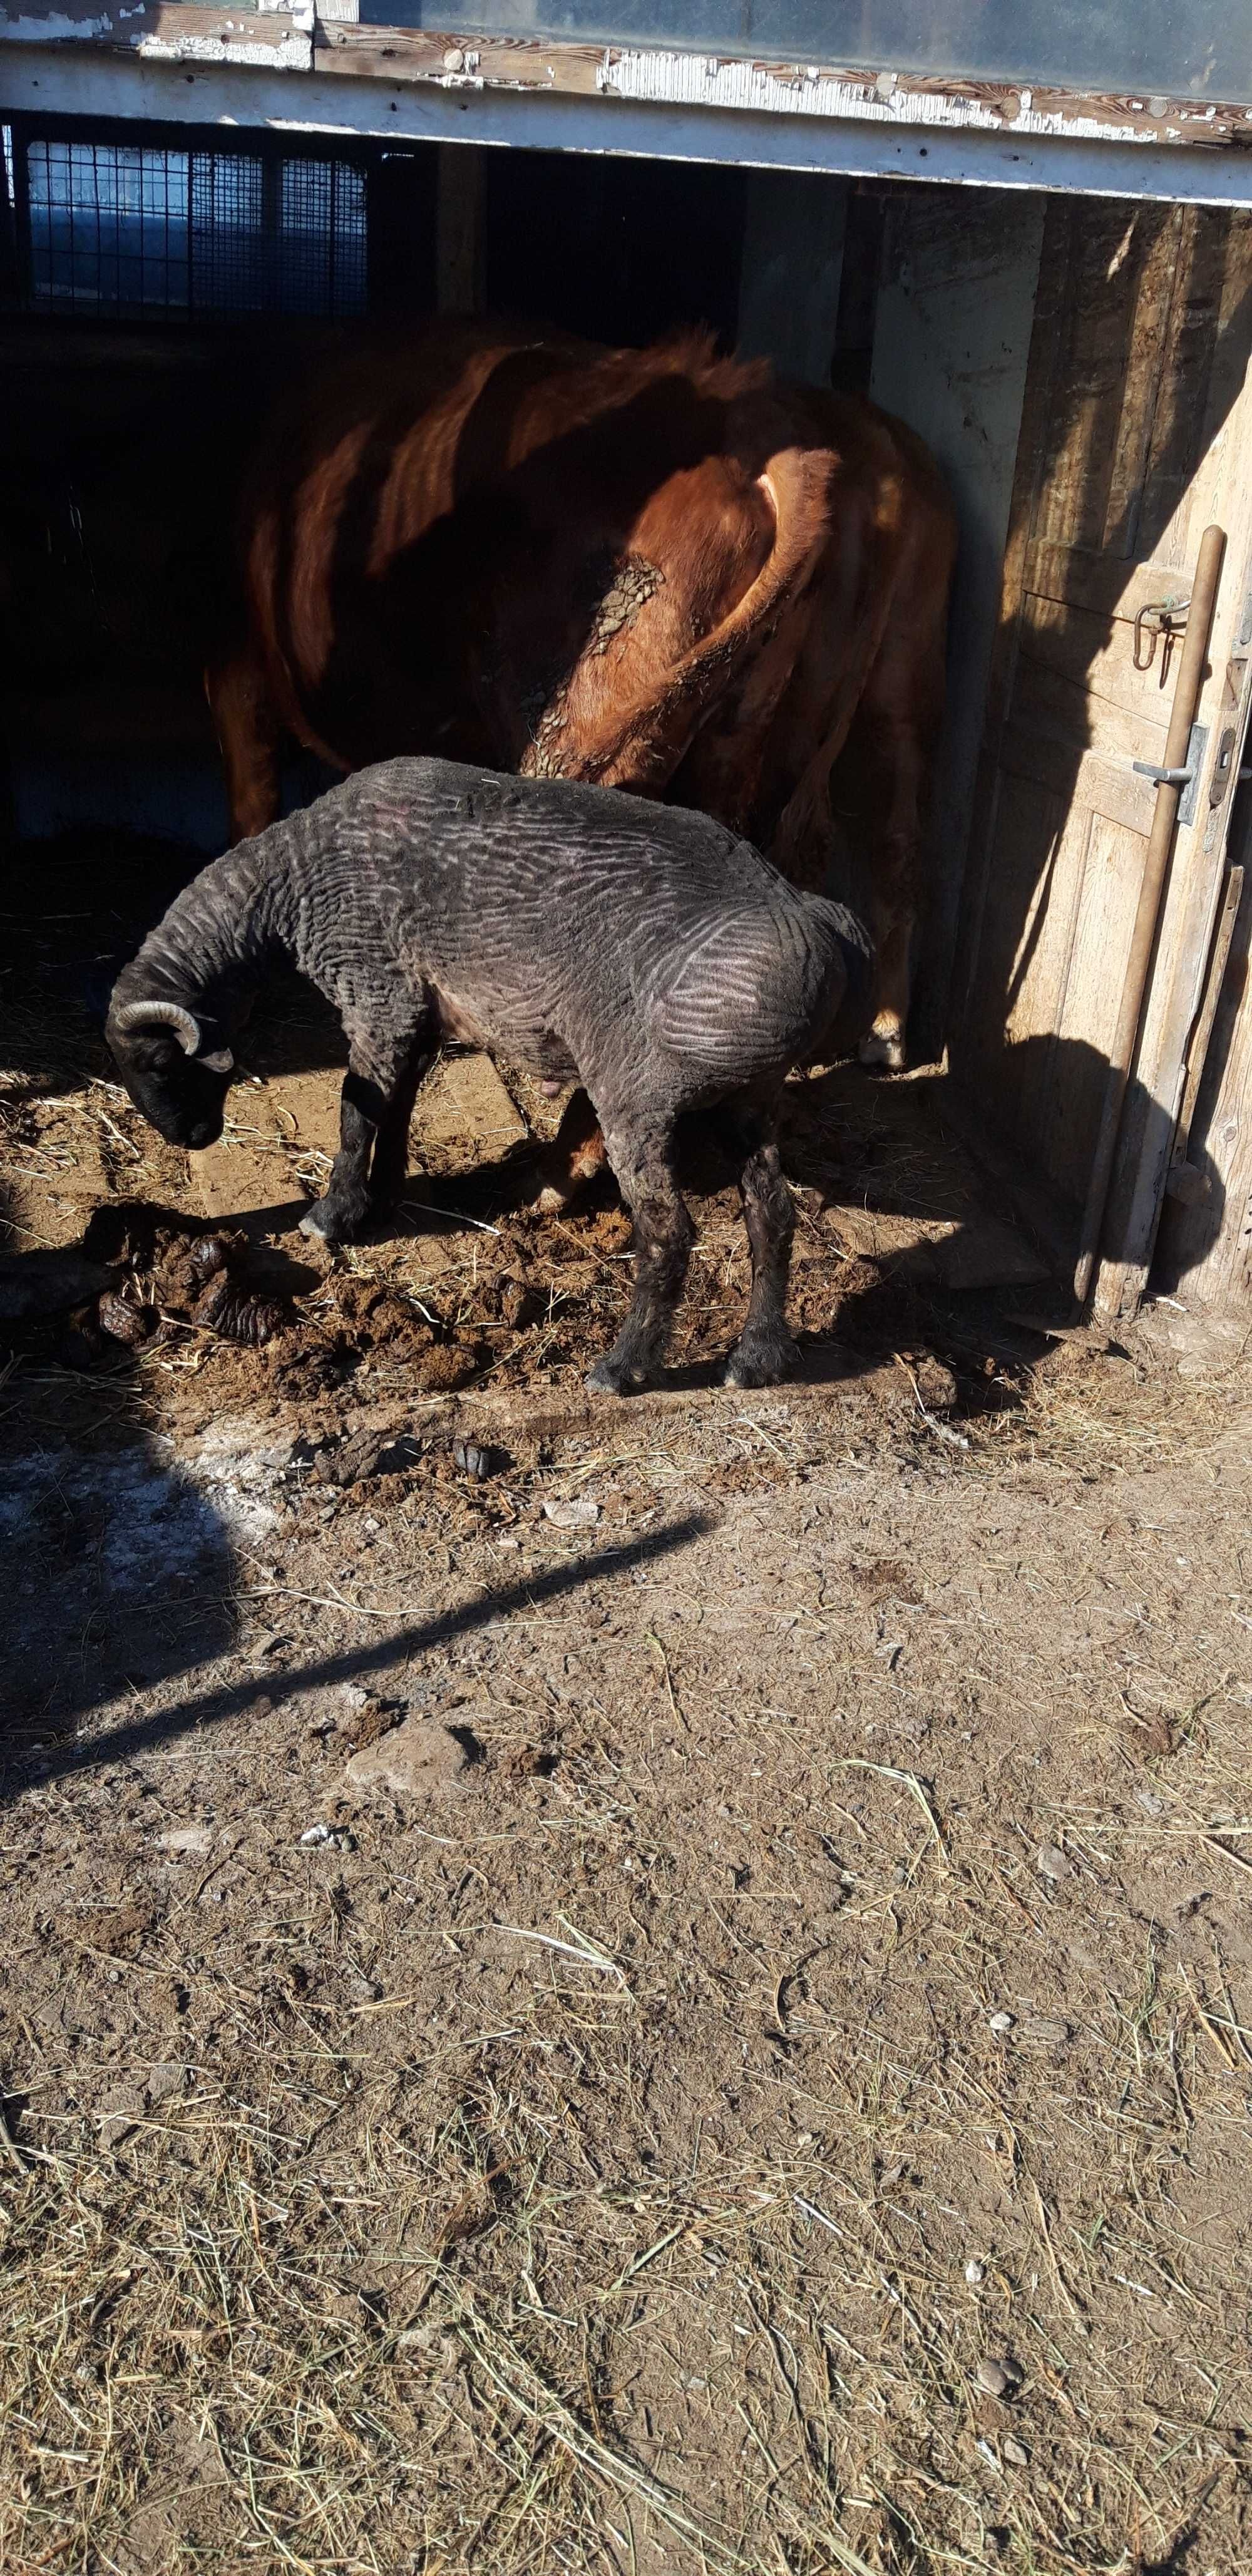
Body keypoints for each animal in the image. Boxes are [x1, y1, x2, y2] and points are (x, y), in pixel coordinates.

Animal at [210, 311, 953, 1185]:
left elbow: (250, 802)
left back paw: (568, 1165)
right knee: (884, 837)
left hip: (598, 723)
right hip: (874, 697)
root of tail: (772, 430)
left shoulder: (236, 668)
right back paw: (876, 1039)